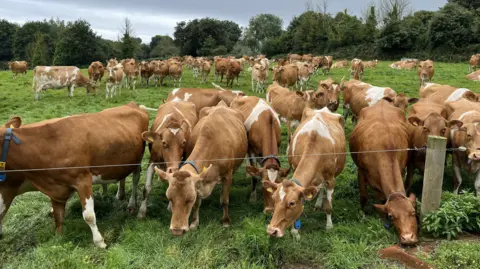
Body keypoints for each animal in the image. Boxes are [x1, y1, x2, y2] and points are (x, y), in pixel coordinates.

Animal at [0, 102, 149, 247]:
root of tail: (131, 104)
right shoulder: (55, 188)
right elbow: (58, 216)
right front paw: (58, 239)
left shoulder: (82, 180)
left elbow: (89, 215)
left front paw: (100, 242)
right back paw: (119, 194)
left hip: (138, 158)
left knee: (135, 179)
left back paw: (131, 204)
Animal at [154, 101, 248, 233]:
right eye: (170, 198)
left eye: (189, 199)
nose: (177, 230)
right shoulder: (198, 181)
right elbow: (198, 203)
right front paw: (194, 222)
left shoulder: (227, 176)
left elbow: (224, 200)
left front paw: (226, 221)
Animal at [262, 107, 344, 237]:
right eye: (274, 199)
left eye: (292, 203)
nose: (272, 230)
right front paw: (295, 231)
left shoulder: (331, 179)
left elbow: (328, 206)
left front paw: (329, 226)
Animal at [350, 99, 418, 245]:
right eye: (391, 216)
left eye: (413, 212)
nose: (408, 238)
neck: (386, 148)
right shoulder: (361, 171)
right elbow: (364, 197)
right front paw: (363, 214)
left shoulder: (401, 168)